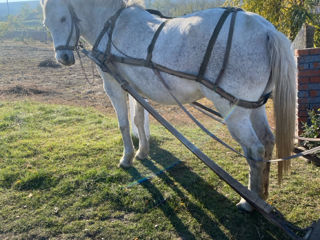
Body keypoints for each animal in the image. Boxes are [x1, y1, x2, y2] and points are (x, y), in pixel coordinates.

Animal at [41, 0, 296, 211]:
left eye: (62, 19)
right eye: (46, 24)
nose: (63, 58)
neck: (113, 24)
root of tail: (267, 29)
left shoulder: (113, 85)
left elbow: (124, 124)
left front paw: (127, 158)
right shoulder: (135, 87)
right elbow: (138, 120)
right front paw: (143, 152)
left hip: (234, 112)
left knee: (255, 149)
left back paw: (248, 201)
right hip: (253, 107)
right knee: (267, 140)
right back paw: (262, 194)